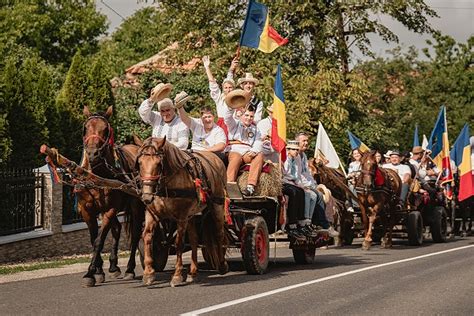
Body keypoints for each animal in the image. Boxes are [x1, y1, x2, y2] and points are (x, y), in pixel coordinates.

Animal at [79, 106, 144, 286]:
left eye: (105, 130)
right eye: (85, 128)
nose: (92, 154)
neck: (98, 176)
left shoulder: (110, 209)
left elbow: (99, 241)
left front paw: (90, 272)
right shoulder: (87, 211)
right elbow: (94, 239)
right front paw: (98, 270)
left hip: (136, 206)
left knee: (135, 234)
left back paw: (129, 269)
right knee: (117, 229)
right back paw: (114, 266)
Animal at [134, 136, 229, 286]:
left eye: (158, 164)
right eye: (139, 162)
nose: (147, 196)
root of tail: (215, 158)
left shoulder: (181, 216)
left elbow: (179, 242)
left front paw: (177, 275)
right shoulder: (152, 213)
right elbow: (147, 236)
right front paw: (148, 273)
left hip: (216, 206)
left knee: (219, 234)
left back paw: (222, 265)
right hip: (192, 215)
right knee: (195, 239)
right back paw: (193, 272)